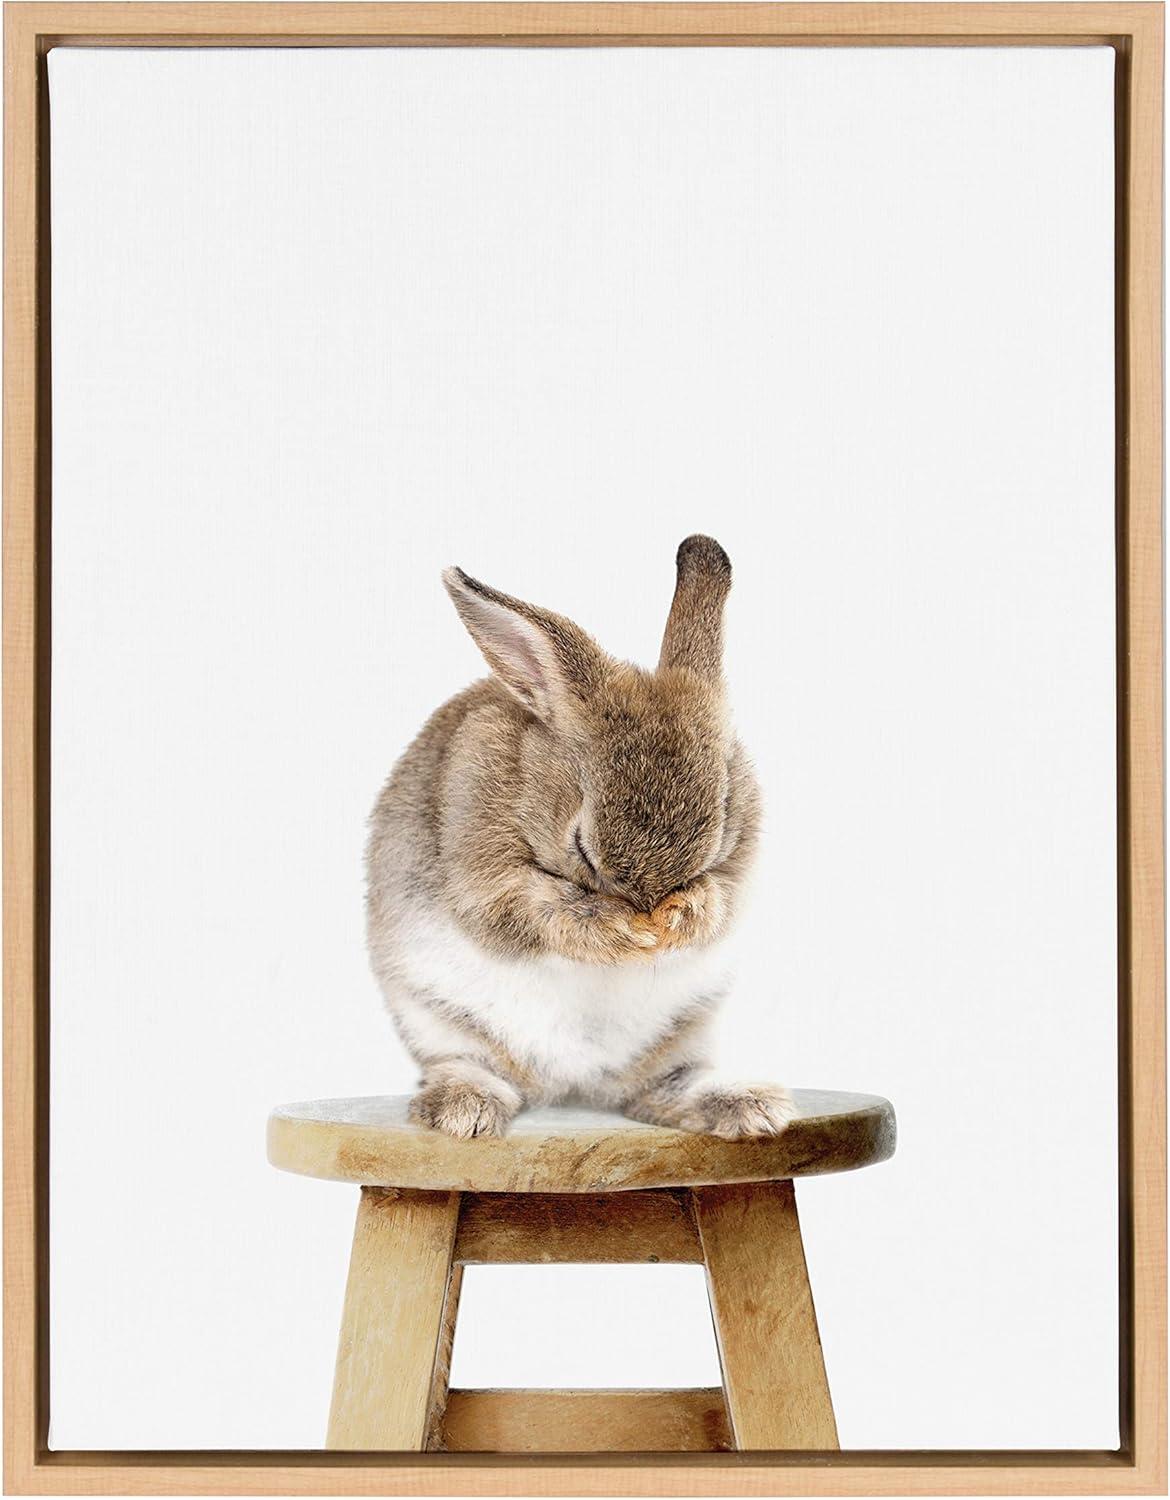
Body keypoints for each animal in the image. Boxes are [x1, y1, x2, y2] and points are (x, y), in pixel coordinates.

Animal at [365, 534, 795, 1140]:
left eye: (716, 836)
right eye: (582, 849)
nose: (650, 913)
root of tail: (574, 1084)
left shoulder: (740, 867)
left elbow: (721, 900)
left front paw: (681, 917)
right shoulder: (482, 872)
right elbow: (539, 912)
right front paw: (625, 933)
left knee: (665, 1091)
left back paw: (753, 1108)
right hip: (439, 1022)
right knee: (468, 1066)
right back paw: (464, 1112)